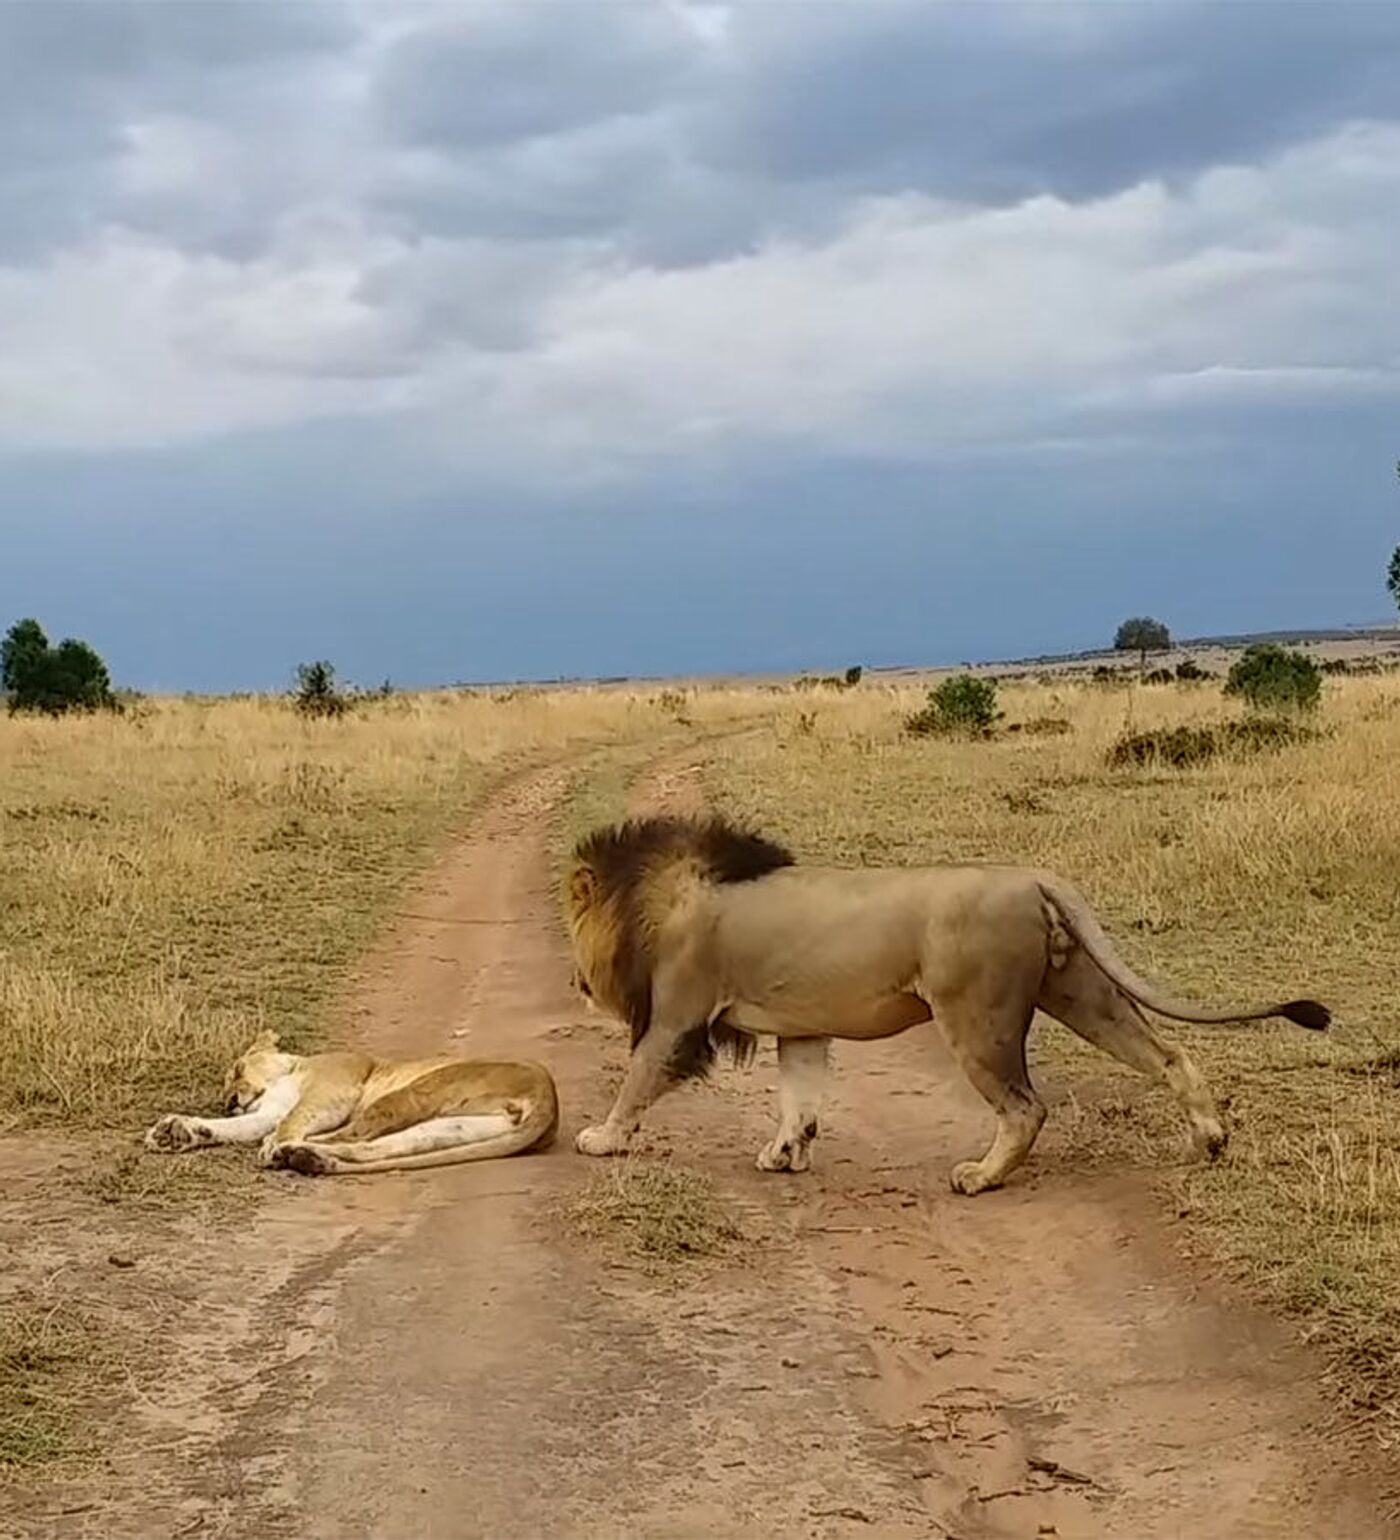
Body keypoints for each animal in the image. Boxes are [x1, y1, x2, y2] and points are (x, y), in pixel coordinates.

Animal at [143, 1034, 557, 1176]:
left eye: (238, 1069)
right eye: (225, 1086)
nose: (230, 1100)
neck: (292, 1070)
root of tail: (549, 1100)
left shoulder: (333, 1089)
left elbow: (292, 1118)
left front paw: (273, 1141)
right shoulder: (268, 1110)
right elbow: (243, 1126)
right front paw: (178, 1131)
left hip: (418, 1090)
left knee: (354, 1134)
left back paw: (289, 1152)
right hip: (450, 1128)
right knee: (371, 1147)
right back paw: (306, 1158)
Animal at [563, 813, 1324, 1195]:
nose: (575, 983)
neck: (659, 896)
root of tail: (1032, 875)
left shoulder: (677, 1016)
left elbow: (636, 1080)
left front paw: (601, 1138)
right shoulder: (801, 1029)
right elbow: (799, 1099)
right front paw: (784, 1154)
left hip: (975, 1013)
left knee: (1026, 1107)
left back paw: (980, 1177)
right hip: (1080, 991)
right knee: (1169, 1054)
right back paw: (1210, 1139)